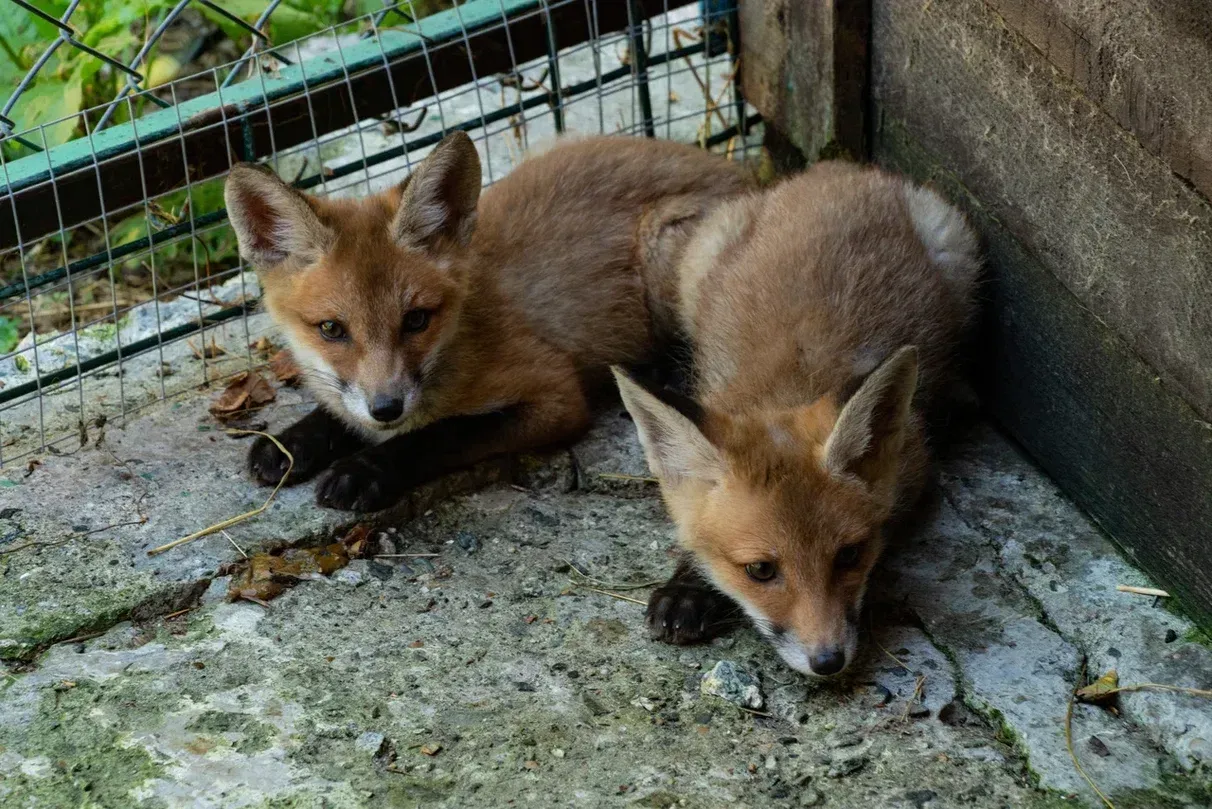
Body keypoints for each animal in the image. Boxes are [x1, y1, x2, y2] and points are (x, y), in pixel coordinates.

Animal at [224, 132, 751, 511]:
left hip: (666, 244)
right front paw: (289, 444)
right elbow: (336, 411)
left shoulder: (556, 396)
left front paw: (366, 469)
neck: (459, 333)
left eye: (416, 320)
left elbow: (441, 435)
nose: (387, 409)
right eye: (332, 329)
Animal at [610, 157, 979, 679]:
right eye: (761, 570)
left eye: (850, 555)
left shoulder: (913, 460)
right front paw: (689, 586)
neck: (791, 383)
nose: (828, 661)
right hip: (698, 258)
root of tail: (836, 170)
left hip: (958, 254)